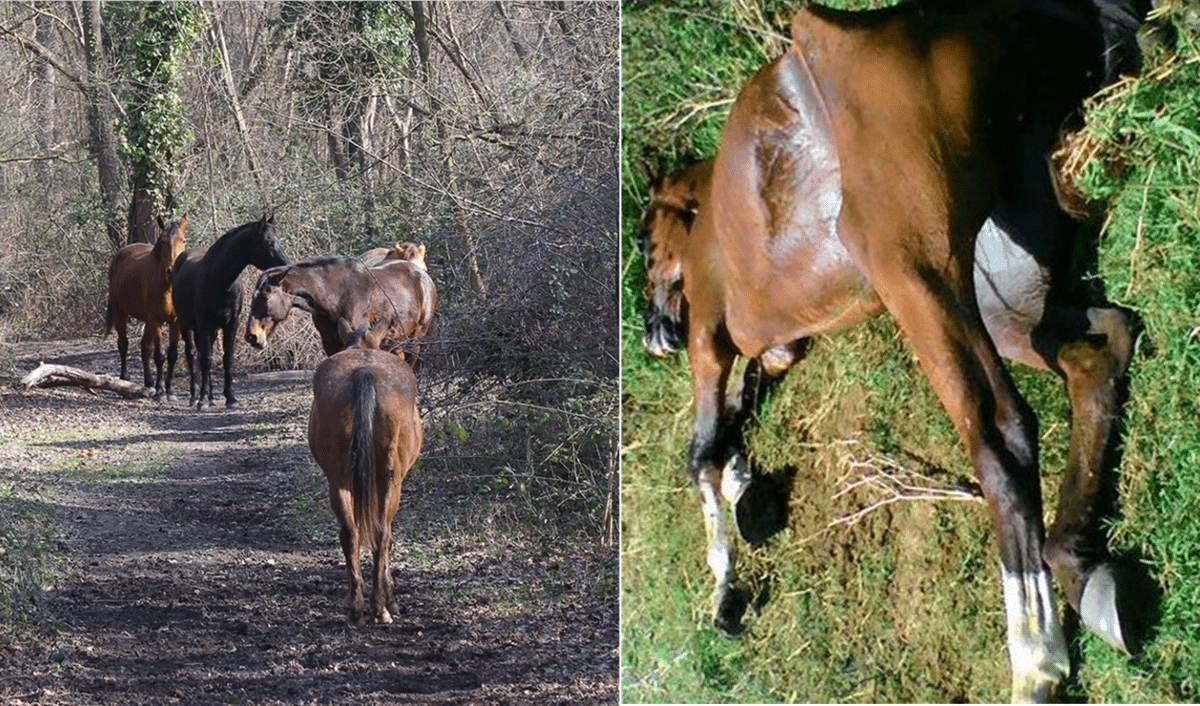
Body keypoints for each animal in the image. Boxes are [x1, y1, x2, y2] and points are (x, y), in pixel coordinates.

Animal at [104, 216, 188, 400]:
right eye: (163, 241)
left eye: (183, 240)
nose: (172, 271)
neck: (167, 287)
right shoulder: (156, 321)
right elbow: (159, 356)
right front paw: (161, 391)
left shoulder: (175, 323)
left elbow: (172, 355)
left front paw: (169, 390)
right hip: (121, 313)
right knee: (123, 344)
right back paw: (125, 378)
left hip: (147, 322)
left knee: (144, 348)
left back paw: (148, 382)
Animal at [169, 214, 291, 410]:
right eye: (268, 242)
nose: (287, 266)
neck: (219, 281)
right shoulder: (203, 323)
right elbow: (206, 360)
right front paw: (202, 401)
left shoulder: (231, 323)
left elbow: (227, 359)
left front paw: (230, 399)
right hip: (186, 325)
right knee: (193, 354)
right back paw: (196, 396)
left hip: (210, 330)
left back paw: (211, 397)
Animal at [245, 247, 436, 369]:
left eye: (267, 296)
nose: (251, 336)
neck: (335, 297)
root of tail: (421, 273)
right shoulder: (330, 342)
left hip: (415, 339)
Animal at [308, 318, 422, 625]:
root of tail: (364, 372)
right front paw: (391, 597)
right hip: (390, 480)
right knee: (382, 533)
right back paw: (380, 607)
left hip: (339, 478)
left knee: (350, 532)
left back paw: (356, 606)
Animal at [640, 1, 1149, 700]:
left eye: (644, 240)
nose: (650, 330)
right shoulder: (781, 344)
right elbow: (745, 402)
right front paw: (747, 490)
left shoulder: (709, 337)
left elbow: (702, 451)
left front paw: (724, 585)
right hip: (1005, 290)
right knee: (1097, 350)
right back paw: (1079, 567)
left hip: (913, 271)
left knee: (1002, 434)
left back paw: (1035, 654)